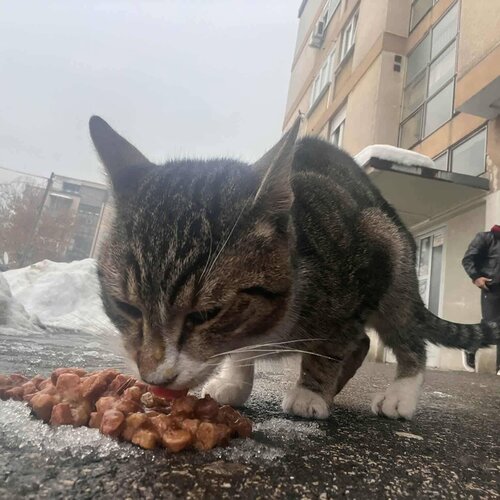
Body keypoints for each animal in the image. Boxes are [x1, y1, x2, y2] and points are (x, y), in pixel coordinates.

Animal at [89, 115, 499, 420]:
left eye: (206, 314)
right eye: (126, 308)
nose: (156, 377)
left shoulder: (365, 262)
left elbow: (332, 344)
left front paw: (311, 391)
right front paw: (236, 378)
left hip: (392, 255)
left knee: (404, 333)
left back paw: (399, 393)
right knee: (365, 341)